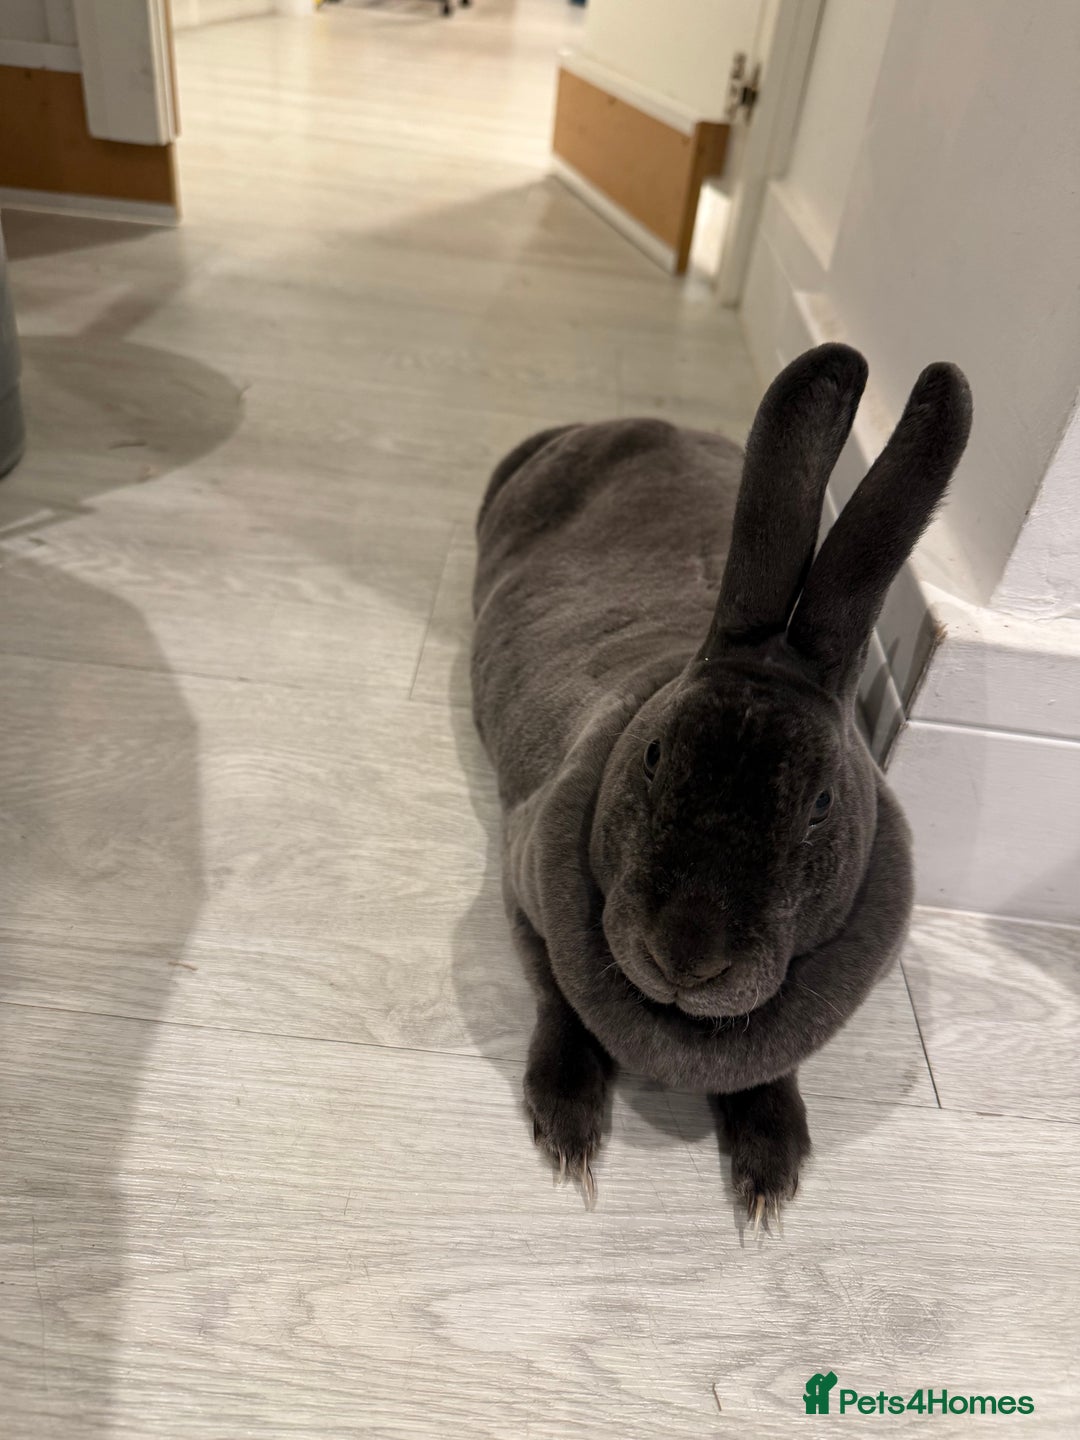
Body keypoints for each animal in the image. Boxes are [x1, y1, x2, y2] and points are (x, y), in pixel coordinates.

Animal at [470, 343, 972, 1223]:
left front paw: (770, 1177)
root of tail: (622, 423)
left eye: (821, 804)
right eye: (654, 754)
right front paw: (569, 1137)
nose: (686, 956)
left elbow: (771, 1078)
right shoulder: (523, 891)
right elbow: (560, 1007)